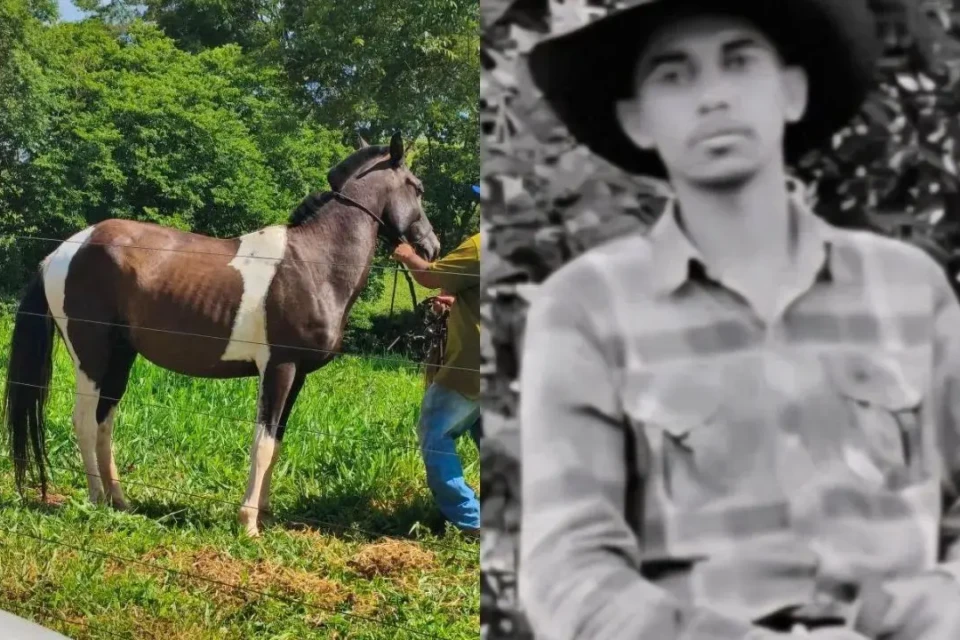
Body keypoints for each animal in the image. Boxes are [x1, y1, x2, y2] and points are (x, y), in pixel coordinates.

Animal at [3, 132, 440, 537]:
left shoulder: (297, 375)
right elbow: (262, 443)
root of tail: (62, 251)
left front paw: (264, 515)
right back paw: (96, 499)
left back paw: (120, 502)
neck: (313, 263)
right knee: (84, 421)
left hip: (120, 358)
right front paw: (248, 523)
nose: (432, 247)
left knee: (103, 422)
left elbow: (277, 443)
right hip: (91, 357)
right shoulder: (278, 368)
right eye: (417, 187)